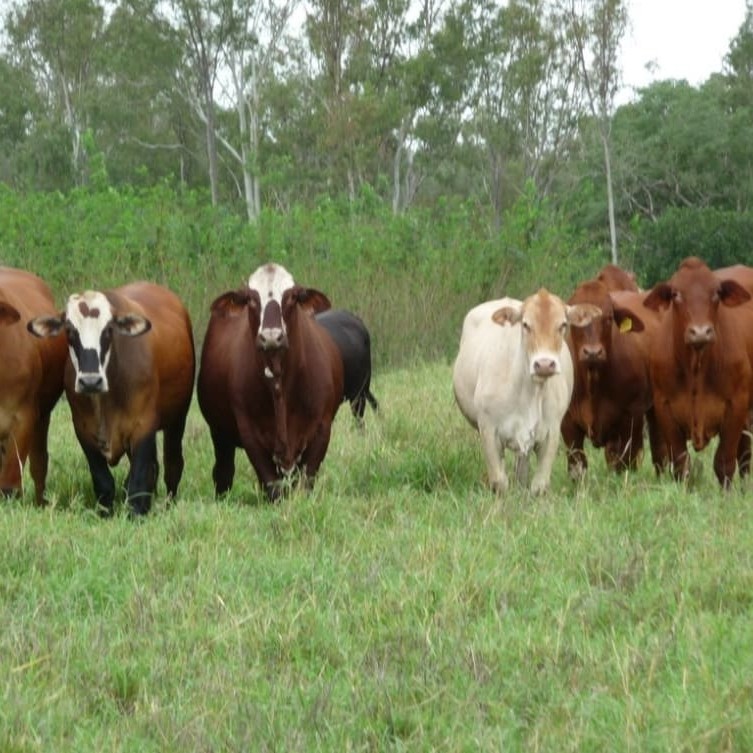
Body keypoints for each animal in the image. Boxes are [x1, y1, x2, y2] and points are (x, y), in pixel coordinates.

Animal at [27, 282, 195, 516]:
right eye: (69, 331)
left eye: (108, 330)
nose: (90, 381)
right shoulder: (84, 431)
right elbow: (104, 481)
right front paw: (105, 513)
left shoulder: (143, 426)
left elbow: (138, 480)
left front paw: (137, 514)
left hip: (177, 420)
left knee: (172, 465)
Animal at [197, 262, 344, 502]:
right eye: (250, 299)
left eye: (292, 297)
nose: (271, 337)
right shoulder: (249, 433)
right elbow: (273, 487)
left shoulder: (322, 429)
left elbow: (305, 482)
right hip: (220, 434)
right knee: (223, 472)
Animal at [452, 286, 600, 494]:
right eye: (526, 325)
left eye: (562, 325)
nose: (544, 364)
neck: (528, 391)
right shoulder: (488, 431)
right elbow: (500, 482)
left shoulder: (551, 433)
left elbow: (539, 486)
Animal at [632, 256, 752, 484]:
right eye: (676, 294)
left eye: (716, 293)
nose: (701, 332)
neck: (696, 368)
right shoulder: (664, 406)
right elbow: (681, 463)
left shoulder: (737, 404)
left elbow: (724, 462)